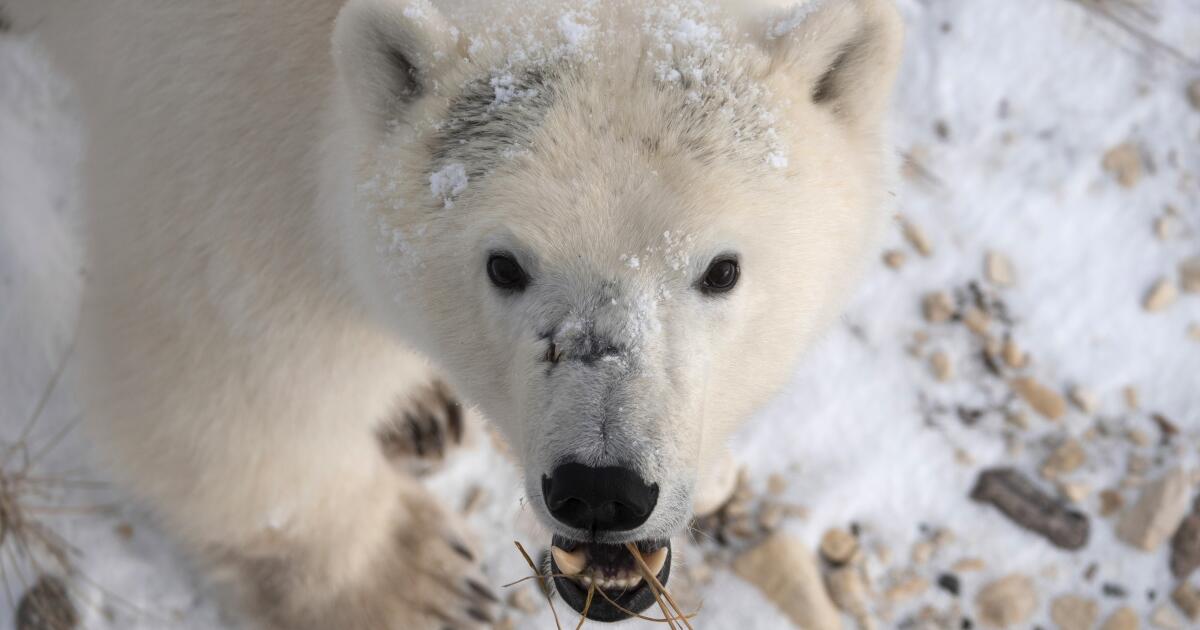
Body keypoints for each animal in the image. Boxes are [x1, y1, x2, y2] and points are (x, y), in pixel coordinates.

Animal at [2, 0, 902, 624]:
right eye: (505, 265)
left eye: (721, 270)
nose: (601, 490)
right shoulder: (220, 133)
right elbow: (224, 380)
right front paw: (414, 582)